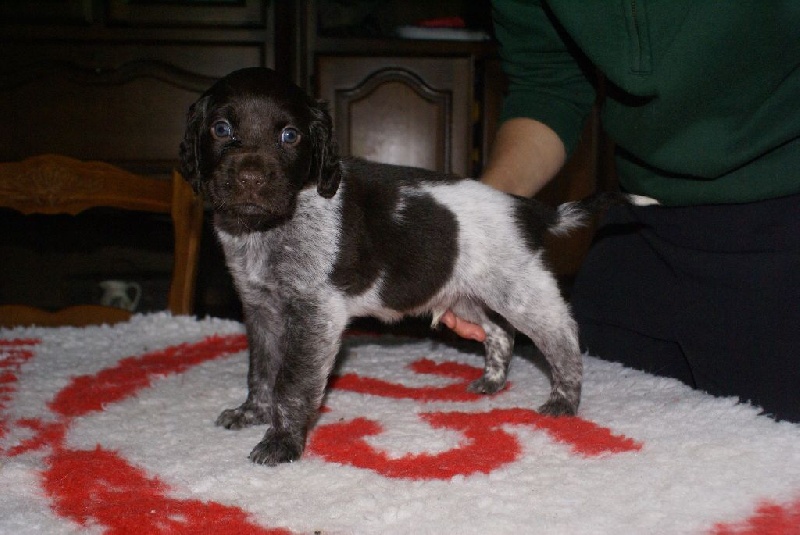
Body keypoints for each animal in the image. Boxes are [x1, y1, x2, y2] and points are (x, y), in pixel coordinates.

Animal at [180, 67, 632, 466]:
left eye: (289, 136)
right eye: (221, 129)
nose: (251, 179)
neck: (264, 229)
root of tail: (525, 209)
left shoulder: (315, 314)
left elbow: (292, 383)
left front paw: (281, 442)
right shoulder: (261, 308)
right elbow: (261, 369)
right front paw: (252, 412)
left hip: (520, 293)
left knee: (562, 338)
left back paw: (564, 400)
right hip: (465, 295)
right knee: (500, 333)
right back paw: (492, 381)